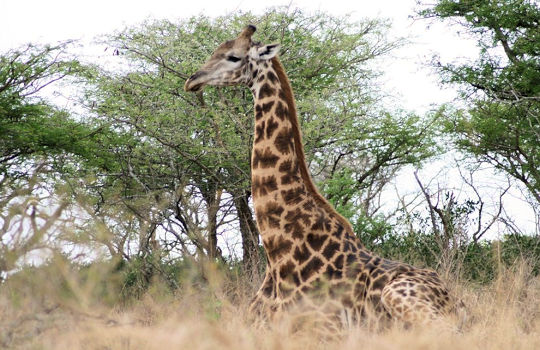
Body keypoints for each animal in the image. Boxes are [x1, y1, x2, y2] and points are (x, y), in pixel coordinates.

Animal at [185, 24, 460, 330]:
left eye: (233, 57)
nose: (192, 80)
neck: (278, 252)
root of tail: (454, 301)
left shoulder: (315, 326)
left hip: (400, 297)